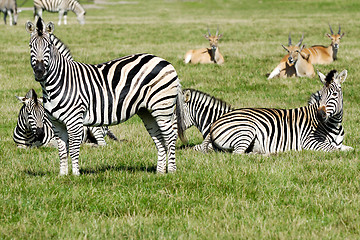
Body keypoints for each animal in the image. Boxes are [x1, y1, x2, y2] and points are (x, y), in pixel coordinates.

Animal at [25, 16, 186, 174]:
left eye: (48, 46)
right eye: (31, 47)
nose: (39, 72)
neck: (61, 81)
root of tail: (165, 61)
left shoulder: (74, 120)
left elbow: (74, 149)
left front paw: (75, 175)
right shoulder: (57, 123)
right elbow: (62, 151)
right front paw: (63, 175)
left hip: (162, 107)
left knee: (170, 136)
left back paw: (171, 171)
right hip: (147, 111)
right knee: (159, 138)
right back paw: (160, 173)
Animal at [204, 69, 352, 154]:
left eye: (334, 94)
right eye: (320, 95)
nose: (320, 115)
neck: (334, 125)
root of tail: (215, 123)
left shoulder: (341, 144)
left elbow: (350, 149)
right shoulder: (309, 141)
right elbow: (336, 151)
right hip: (246, 130)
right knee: (237, 155)